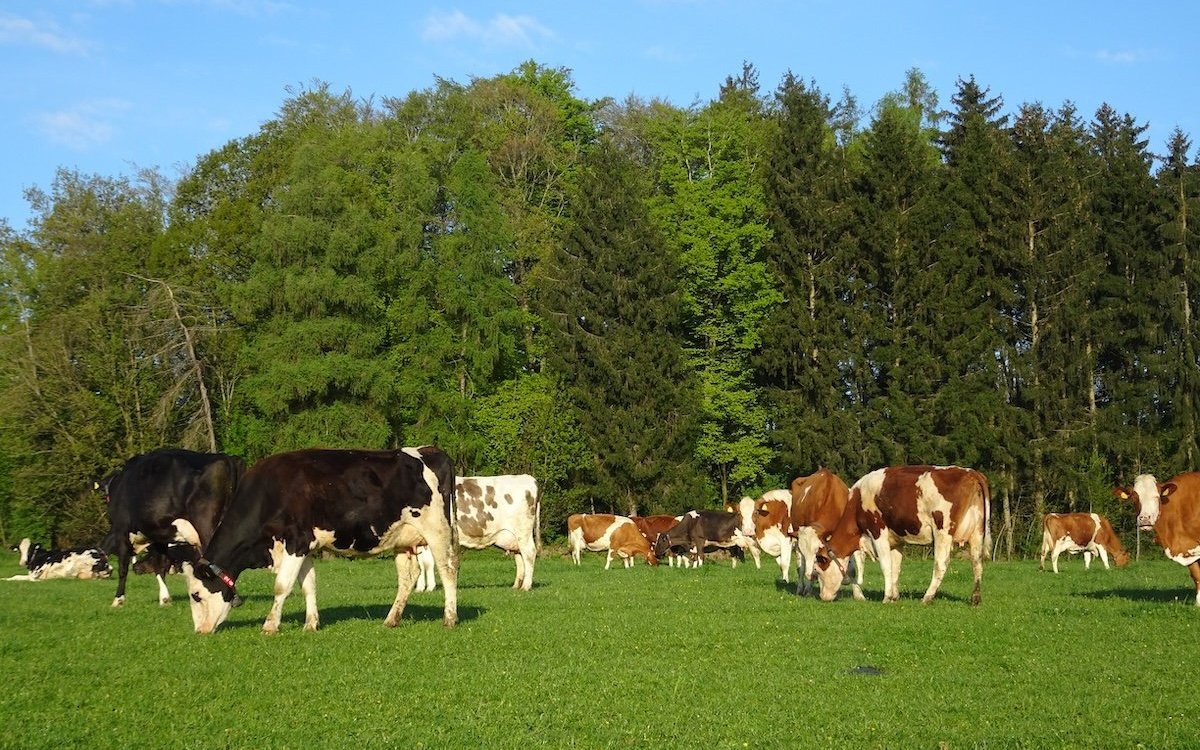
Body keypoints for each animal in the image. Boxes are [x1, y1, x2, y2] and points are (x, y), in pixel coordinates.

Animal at [99, 448, 245, 607]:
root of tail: (225, 458)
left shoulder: (121, 530)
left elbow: (123, 568)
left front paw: (118, 599)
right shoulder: (158, 534)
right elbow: (160, 565)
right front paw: (164, 599)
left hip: (205, 524)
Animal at [183, 447, 459, 634]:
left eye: (196, 595)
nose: (199, 631)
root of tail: (430, 450)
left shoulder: (296, 541)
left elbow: (282, 585)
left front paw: (270, 625)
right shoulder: (305, 545)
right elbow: (308, 585)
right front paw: (311, 624)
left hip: (438, 531)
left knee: (448, 570)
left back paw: (449, 618)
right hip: (403, 539)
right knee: (408, 577)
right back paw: (391, 619)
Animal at [789, 468, 865, 599]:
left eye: (818, 550)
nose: (810, 575)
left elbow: (851, 569)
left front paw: (858, 594)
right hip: (796, 535)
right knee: (801, 567)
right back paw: (802, 588)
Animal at [814, 465, 990, 605]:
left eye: (818, 570)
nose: (822, 597)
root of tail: (970, 472)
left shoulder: (878, 532)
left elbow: (886, 565)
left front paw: (886, 597)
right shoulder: (897, 541)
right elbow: (896, 567)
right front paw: (894, 596)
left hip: (942, 531)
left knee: (941, 564)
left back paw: (927, 597)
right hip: (977, 532)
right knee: (977, 562)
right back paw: (975, 598)